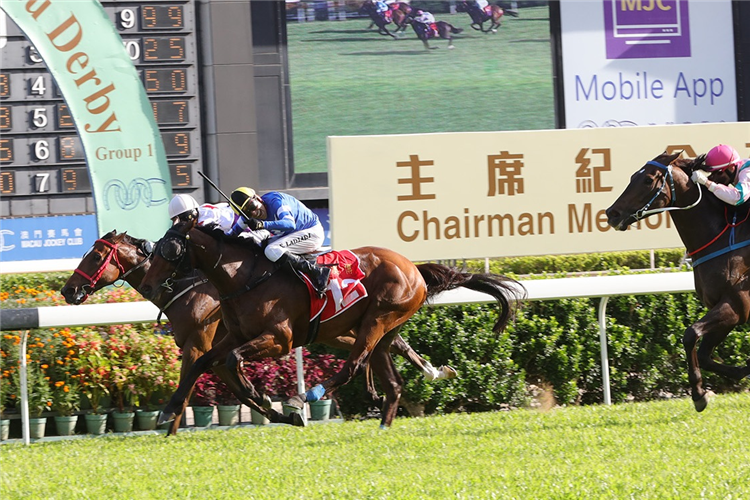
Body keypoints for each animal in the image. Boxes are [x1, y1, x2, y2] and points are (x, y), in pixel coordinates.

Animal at [60, 232, 458, 432]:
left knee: (358, 361)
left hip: (369, 320)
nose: (68, 290)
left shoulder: (215, 343)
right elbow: (228, 384)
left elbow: (198, 378)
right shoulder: (219, 347)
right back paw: (416, 386)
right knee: (386, 357)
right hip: (347, 327)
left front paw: (169, 425)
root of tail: (413, 268)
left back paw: (308, 397)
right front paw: (273, 408)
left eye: (96, 256)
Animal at [608, 151, 750, 414]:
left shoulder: (736, 305)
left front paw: (698, 394)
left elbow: (690, 334)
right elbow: (703, 354)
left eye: (648, 180)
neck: (722, 236)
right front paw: (739, 371)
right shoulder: (728, 310)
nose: (611, 214)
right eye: (633, 176)